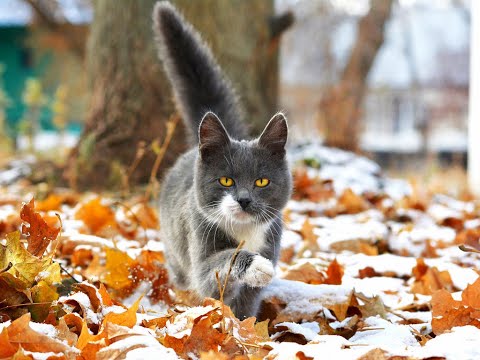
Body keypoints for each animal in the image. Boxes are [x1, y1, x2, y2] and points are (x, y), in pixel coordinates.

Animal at [153, 2, 292, 318]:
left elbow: (247, 305)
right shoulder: (200, 245)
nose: (244, 200)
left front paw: (245, 325)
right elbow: (218, 266)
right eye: (226, 180)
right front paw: (256, 265)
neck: (244, 231)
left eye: (261, 182)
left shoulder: (271, 239)